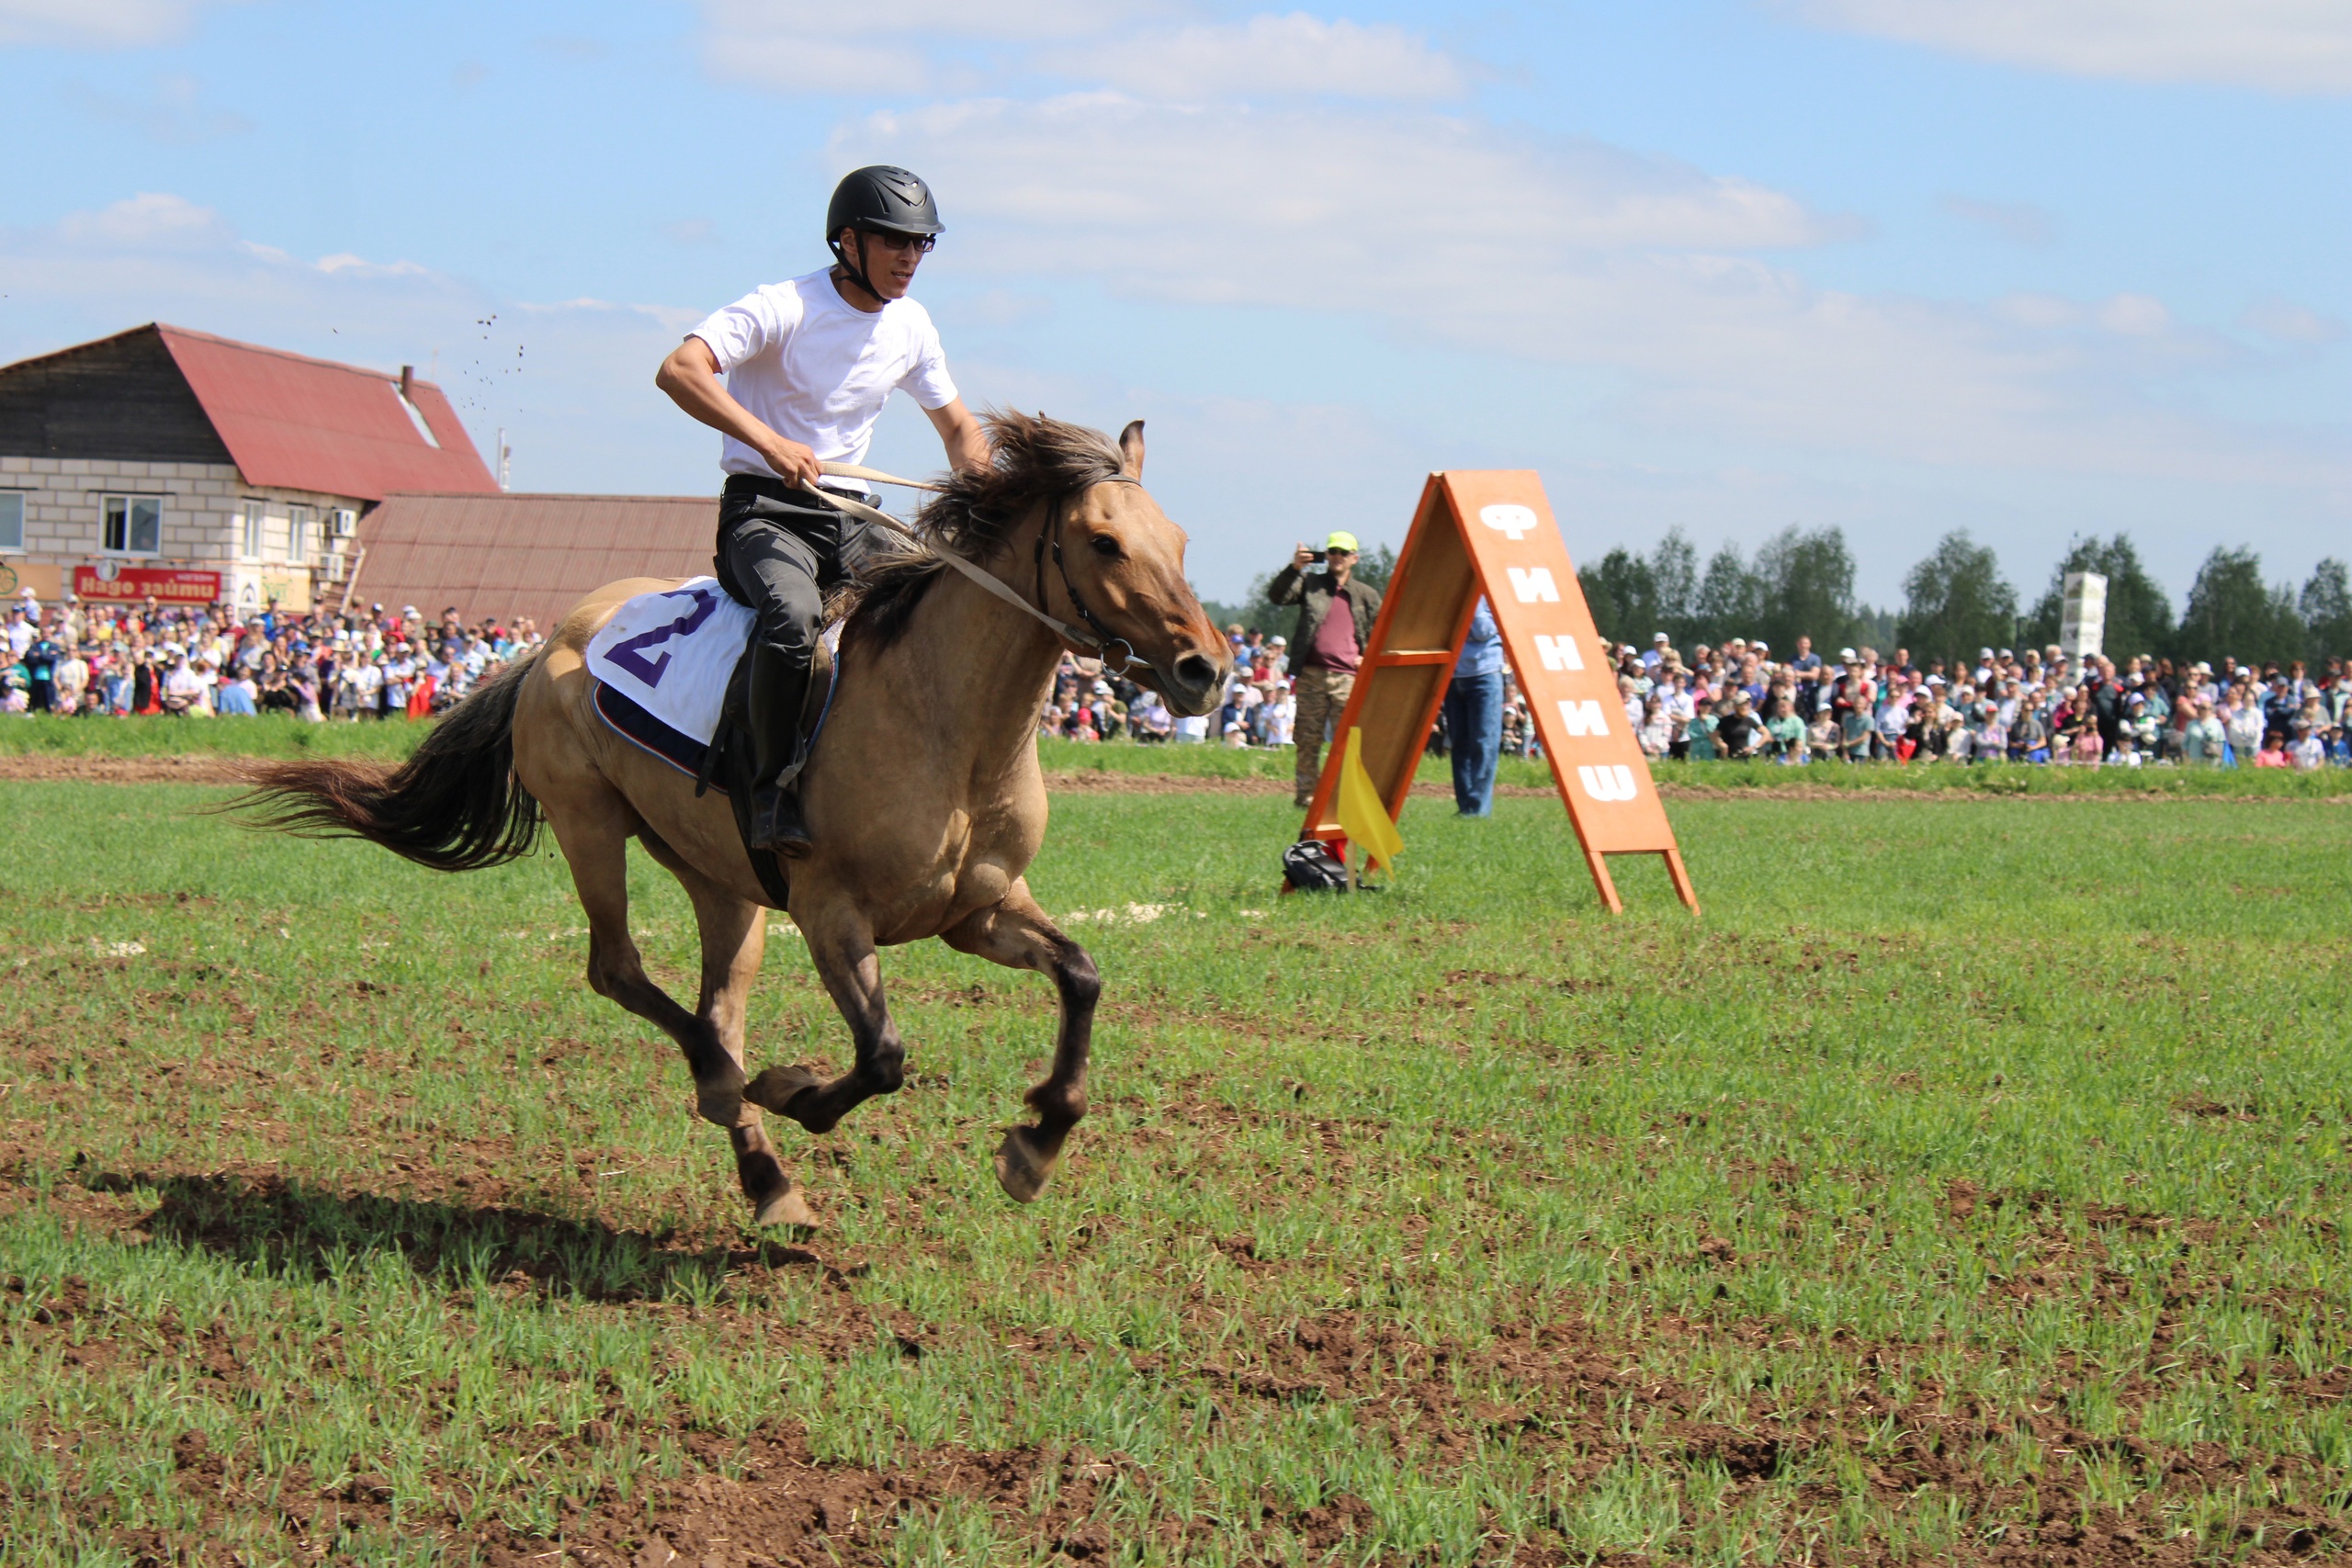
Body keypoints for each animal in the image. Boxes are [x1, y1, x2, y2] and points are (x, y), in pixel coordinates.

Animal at [235, 413, 1230, 1226]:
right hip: (589, 825)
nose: (1206, 670)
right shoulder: (833, 913)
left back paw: (766, 1177)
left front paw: (1034, 1145)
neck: (943, 720)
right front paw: (795, 1090)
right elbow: (883, 1056)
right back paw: (729, 1086)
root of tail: (551, 639)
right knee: (623, 972)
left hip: (725, 886)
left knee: (717, 1003)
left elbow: (1082, 976)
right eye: (1103, 541)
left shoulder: (977, 911)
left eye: (1179, 538)